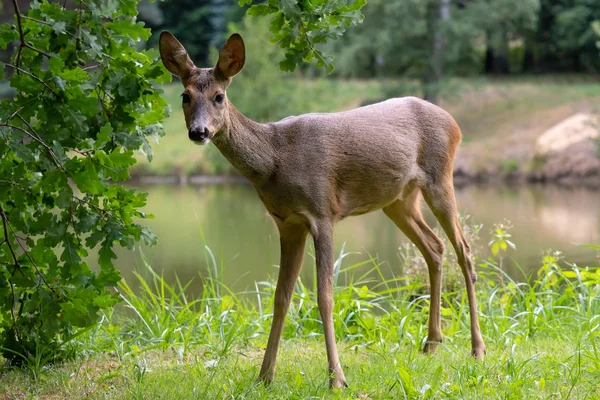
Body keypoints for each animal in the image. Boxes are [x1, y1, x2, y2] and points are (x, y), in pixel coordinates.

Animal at [159, 32, 488, 390]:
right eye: (185, 96)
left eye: (219, 96)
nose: (199, 132)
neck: (275, 160)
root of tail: (454, 122)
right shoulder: (287, 223)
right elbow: (280, 297)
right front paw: (264, 375)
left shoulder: (322, 213)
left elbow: (325, 296)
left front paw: (337, 378)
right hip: (398, 200)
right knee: (435, 247)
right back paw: (431, 343)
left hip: (440, 178)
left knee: (464, 250)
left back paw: (477, 347)